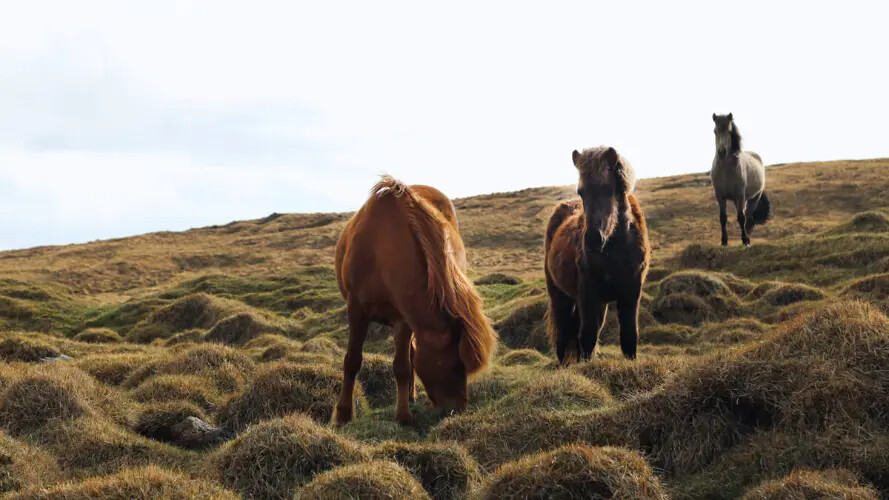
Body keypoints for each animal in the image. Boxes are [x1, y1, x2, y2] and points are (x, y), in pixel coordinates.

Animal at [332, 174, 500, 424]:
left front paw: (403, 415)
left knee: (410, 354)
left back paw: (409, 397)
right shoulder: (356, 310)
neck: (381, 248)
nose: (458, 409)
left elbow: (402, 366)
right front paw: (343, 414)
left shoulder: (402, 318)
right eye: (455, 363)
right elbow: (352, 360)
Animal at [540, 147, 652, 364]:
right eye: (581, 192)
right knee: (563, 334)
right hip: (560, 294)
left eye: (609, 190)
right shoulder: (589, 293)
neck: (615, 250)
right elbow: (588, 336)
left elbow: (629, 336)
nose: (592, 239)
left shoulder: (631, 292)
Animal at [708, 113, 772, 246]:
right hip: (737, 200)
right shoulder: (720, 196)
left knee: (748, 216)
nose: (721, 152)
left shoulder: (740, 194)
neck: (725, 170)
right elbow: (723, 217)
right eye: (715, 131)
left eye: (729, 131)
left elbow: (741, 217)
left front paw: (745, 240)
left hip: (753, 198)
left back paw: (747, 238)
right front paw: (724, 241)